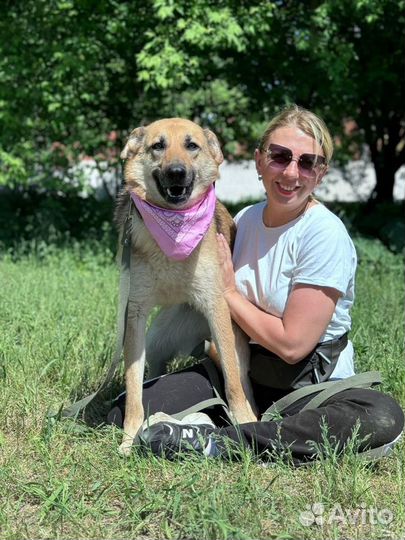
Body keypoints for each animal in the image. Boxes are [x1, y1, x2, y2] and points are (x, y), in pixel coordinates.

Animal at [114, 119, 256, 456]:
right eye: (158, 146)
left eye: (192, 145)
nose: (177, 172)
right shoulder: (135, 314)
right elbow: (134, 389)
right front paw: (130, 437)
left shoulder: (217, 307)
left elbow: (232, 384)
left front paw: (245, 424)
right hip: (156, 342)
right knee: (155, 369)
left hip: (231, 345)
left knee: (241, 380)